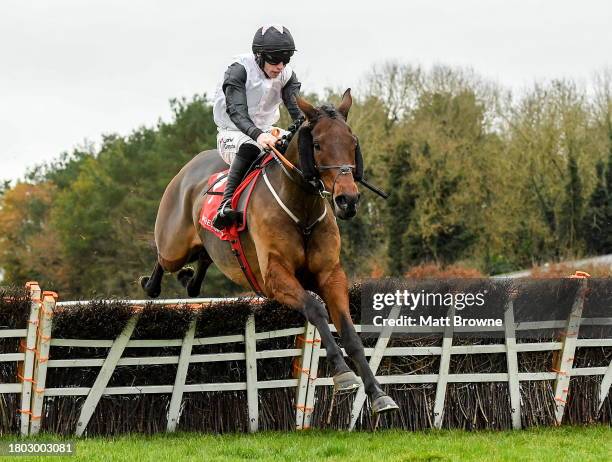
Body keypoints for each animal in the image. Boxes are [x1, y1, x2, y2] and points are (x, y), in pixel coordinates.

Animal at [140, 90, 400, 416]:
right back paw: (151, 284)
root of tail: (187, 169)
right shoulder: (274, 279)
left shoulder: (330, 275)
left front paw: (378, 393)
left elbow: (350, 332)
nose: (347, 200)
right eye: (317, 145)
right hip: (173, 245)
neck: (301, 208)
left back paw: (190, 281)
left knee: (203, 259)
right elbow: (315, 309)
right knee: (163, 260)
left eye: (353, 143)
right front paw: (342, 373)